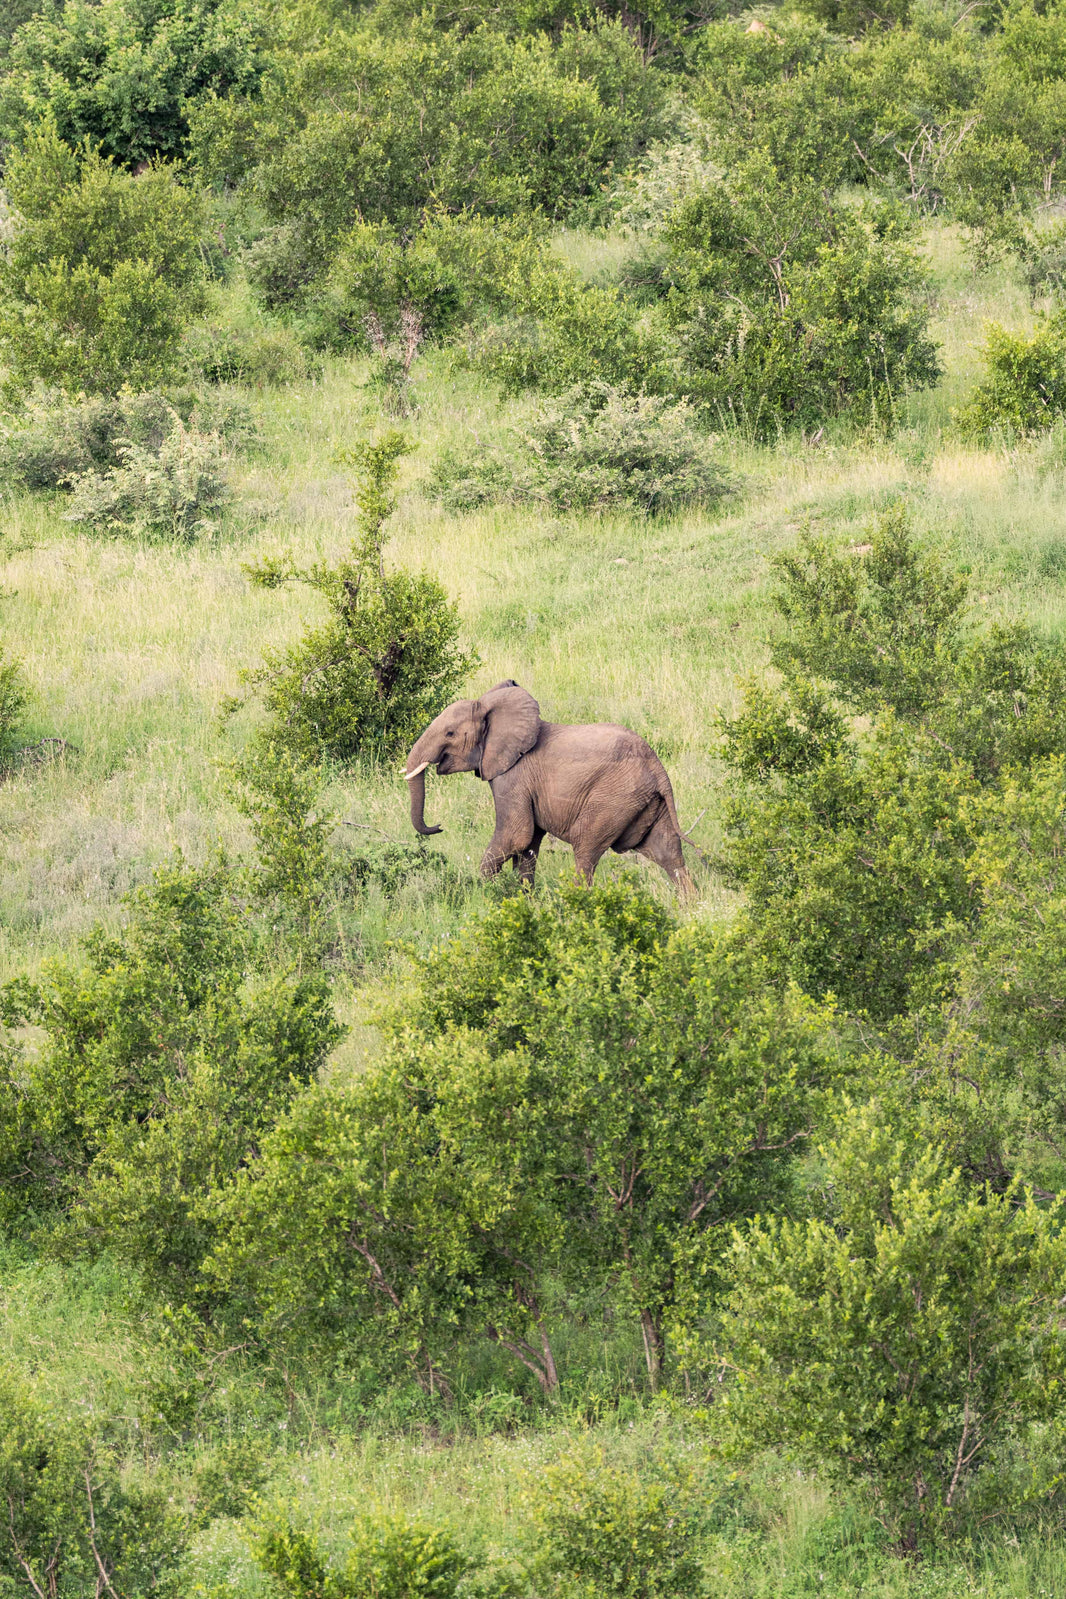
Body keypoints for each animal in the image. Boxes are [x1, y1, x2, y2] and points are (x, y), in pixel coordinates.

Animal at [403, 681, 695, 895]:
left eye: (450, 733)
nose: (439, 826)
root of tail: (658, 769)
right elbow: (528, 846)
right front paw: (522, 900)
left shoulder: (513, 777)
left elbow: (516, 835)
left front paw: (486, 894)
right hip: (647, 802)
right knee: (669, 854)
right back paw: (690, 908)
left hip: (613, 799)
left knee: (585, 851)